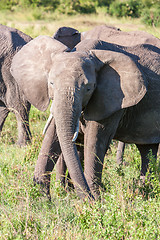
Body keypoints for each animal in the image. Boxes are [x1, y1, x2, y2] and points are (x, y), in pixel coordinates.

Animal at [10, 33, 160, 199]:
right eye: (51, 83)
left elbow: (95, 140)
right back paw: (143, 192)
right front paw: (41, 198)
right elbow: (52, 136)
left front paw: (95, 200)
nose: (87, 198)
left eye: (89, 88)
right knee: (148, 151)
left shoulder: (113, 98)